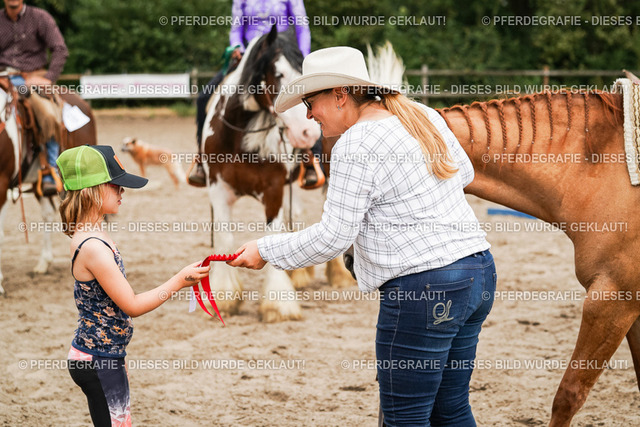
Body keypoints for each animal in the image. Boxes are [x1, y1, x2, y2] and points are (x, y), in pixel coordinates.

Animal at [201, 26, 323, 322]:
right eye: (277, 74)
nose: (308, 132)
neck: (239, 137)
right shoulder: (217, 189)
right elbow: (225, 237)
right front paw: (225, 298)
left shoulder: (274, 189)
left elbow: (272, 234)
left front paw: (278, 304)